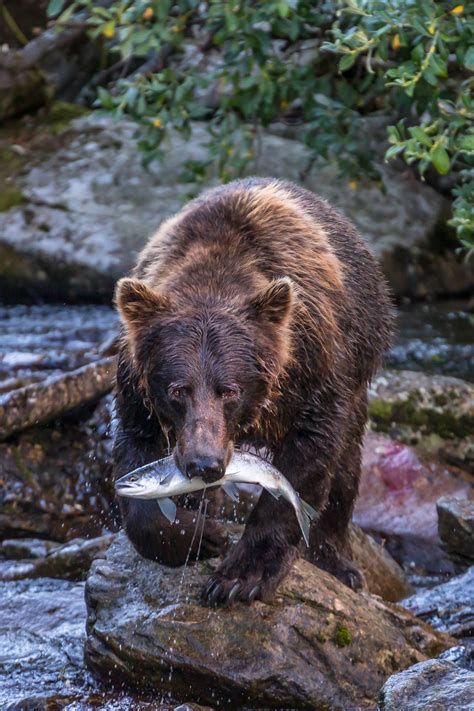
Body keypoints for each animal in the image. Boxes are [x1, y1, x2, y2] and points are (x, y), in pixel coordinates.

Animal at [113, 178, 390, 608]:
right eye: (178, 389)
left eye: (230, 389)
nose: (203, 463)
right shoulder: (137, 385)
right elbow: (136, 450)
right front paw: (200, 536)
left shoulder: (314, 367)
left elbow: (309, 458)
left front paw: (241, 577)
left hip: (360, 362)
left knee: (346, 467)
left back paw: (338, 563)